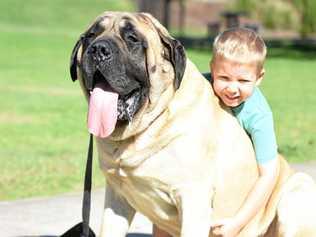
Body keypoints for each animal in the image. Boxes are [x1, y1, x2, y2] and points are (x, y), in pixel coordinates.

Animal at [70, 11, 316, 237]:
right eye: (90, 36)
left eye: (132, 38)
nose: (98, 49)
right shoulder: (117, 198)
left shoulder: (193, 199)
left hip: (296, 191)